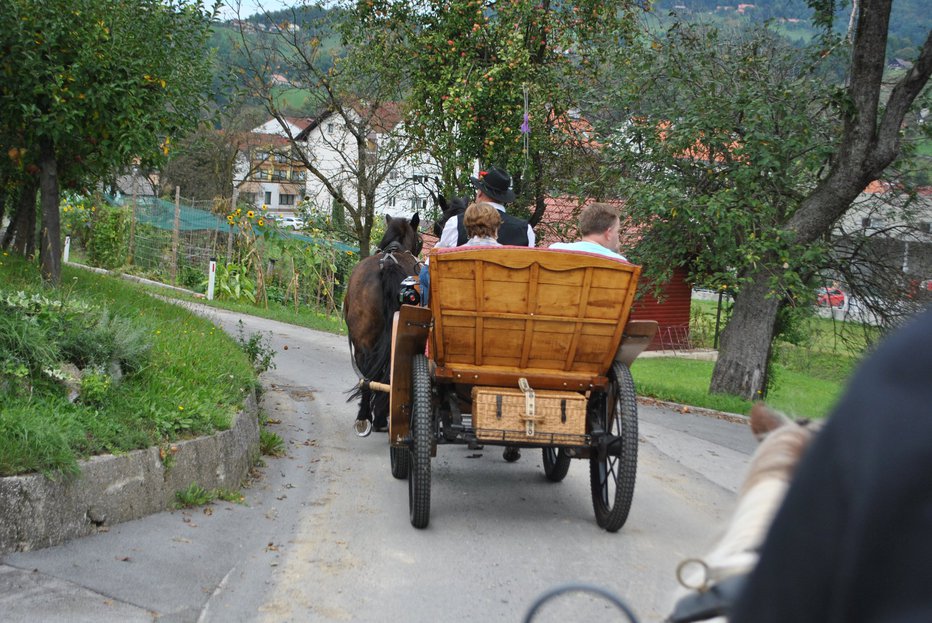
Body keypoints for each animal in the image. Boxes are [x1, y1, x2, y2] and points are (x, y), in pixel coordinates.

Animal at [342, 212, 422, 436]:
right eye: (419, 241)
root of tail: (388, 265)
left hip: (362, 340)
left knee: (368, 375)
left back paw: (364, 417)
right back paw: (378, 418)